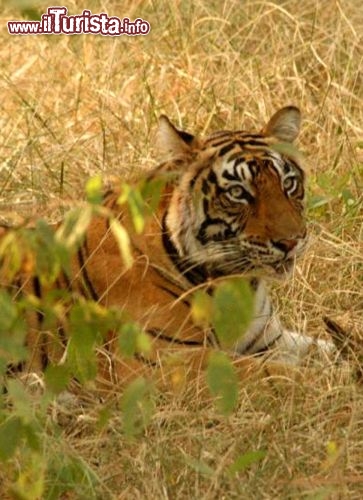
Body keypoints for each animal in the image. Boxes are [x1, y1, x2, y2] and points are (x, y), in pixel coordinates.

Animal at [1, 107, 336, 392]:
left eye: (288, 183)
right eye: (238, 193)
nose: (292, 241)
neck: (238, 282)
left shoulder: (270, 340)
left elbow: (324, 349)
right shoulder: (166, 359)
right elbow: (279, 374)